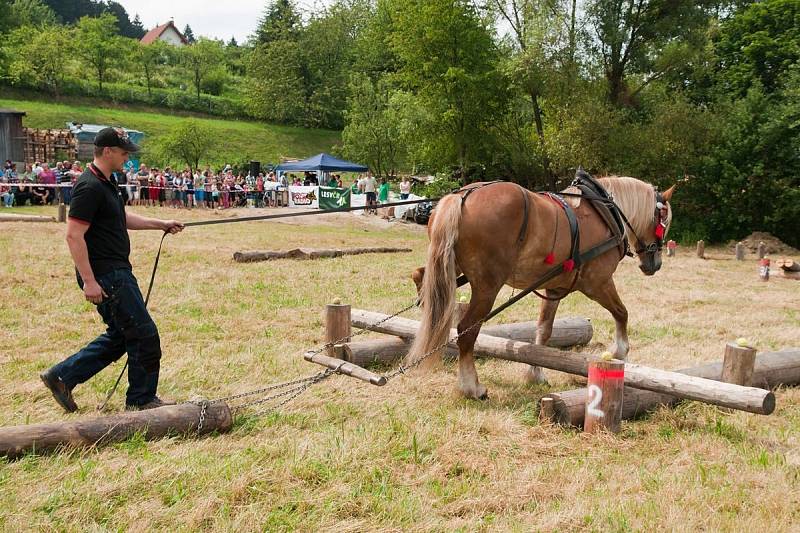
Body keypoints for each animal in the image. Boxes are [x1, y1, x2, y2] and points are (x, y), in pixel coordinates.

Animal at [410, 177, 672, 396]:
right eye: (664, 221)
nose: (655, 264)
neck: (605, 214)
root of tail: (464, 196)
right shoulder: (598, 283)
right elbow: (622, 313)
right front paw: (620, 352)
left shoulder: (554, 289)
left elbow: (544, 331)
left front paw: (536, 373)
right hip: (487, 286)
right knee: (467, 330)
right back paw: (471, 386)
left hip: (446, 266)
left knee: (421, 280)